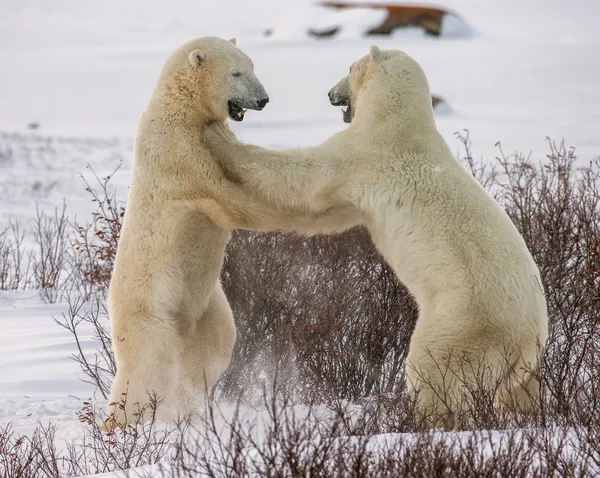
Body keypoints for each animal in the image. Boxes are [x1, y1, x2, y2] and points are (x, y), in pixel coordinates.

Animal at [105, 36, 358, 426]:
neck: (179, 110)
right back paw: (128, 421)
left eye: (252, 66)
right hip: (153, 306)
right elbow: (234, 199)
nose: (263, 99)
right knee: (151, 363)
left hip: (206, 307)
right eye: (236, 72)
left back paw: (187, 409)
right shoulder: (180, 154)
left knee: (214, 347)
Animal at [205, 44, 548, 426]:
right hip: (525, 359)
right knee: (519, 390)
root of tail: (528, 333)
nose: (330, 93)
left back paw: (426, 420)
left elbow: (305, 180)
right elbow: (326, 213)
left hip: (463, 320)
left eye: (348, 67)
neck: (398, 123)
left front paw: (221, 140)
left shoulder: (364, 156)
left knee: (435, 373)